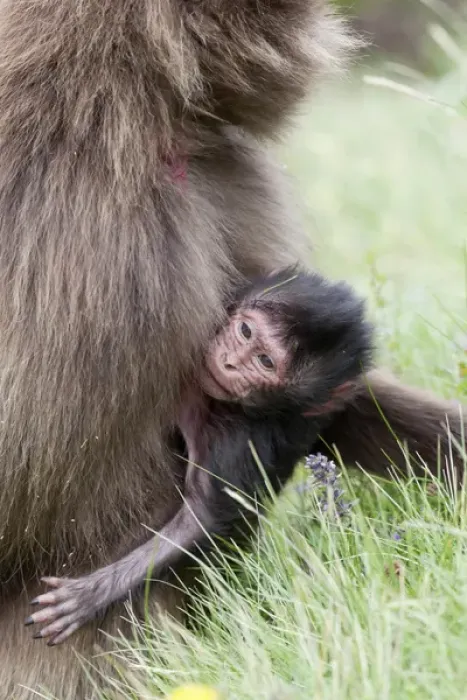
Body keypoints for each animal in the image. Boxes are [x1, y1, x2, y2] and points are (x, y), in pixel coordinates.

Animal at [25, 268, 373, 646]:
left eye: (265, 362)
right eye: (245, 331)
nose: (230, 362)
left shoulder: (236, 439)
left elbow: (201, 519)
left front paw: (93, 594)